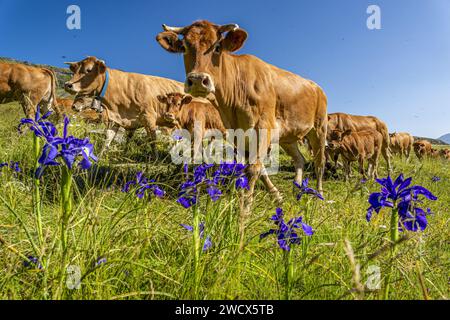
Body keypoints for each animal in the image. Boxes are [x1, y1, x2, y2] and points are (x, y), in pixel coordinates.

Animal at [156, 20, 326, 220]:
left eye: (217, 47)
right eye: (184, 47)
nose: (197, 80)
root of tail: (316, 87)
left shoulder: (263, 127)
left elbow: (253, 169)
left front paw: (244, 212)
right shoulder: (238, 135)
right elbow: (254, 168)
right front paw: (275, 196)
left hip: (319, 129)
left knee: (319, 163)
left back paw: (320, 195)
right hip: (288, 136)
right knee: (299, 159)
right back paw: (297, 188)